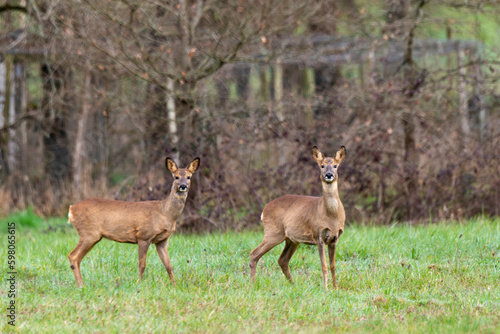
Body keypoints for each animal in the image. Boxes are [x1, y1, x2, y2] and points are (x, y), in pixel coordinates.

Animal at [68, 157, 199, 288]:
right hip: (89, 233)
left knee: (77, 258)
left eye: (189, 177)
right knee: (72, 256)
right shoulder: (144, 236)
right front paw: (138, 284)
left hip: (93, 236)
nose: (183, 186)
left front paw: (175, 286)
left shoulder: (162, 241)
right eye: (176, 177)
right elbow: (142, 264)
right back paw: (81, 285)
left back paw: (81, 284)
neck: (165, 214)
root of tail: (71, 209)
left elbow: (168, 265)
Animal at [248, 146, 346, 290]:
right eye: (322, 166)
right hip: (273, 232)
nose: (329, 175)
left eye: (335, 165)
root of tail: (264, 210)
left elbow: (333, 266)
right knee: (254, 253)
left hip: (291, 239)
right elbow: (324, 266)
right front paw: (325, 288)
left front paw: (335, 287)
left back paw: (293, 285)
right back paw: (253, 285)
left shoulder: (334, 238)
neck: (331, 215)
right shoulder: (318, 236)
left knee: (282, 260)